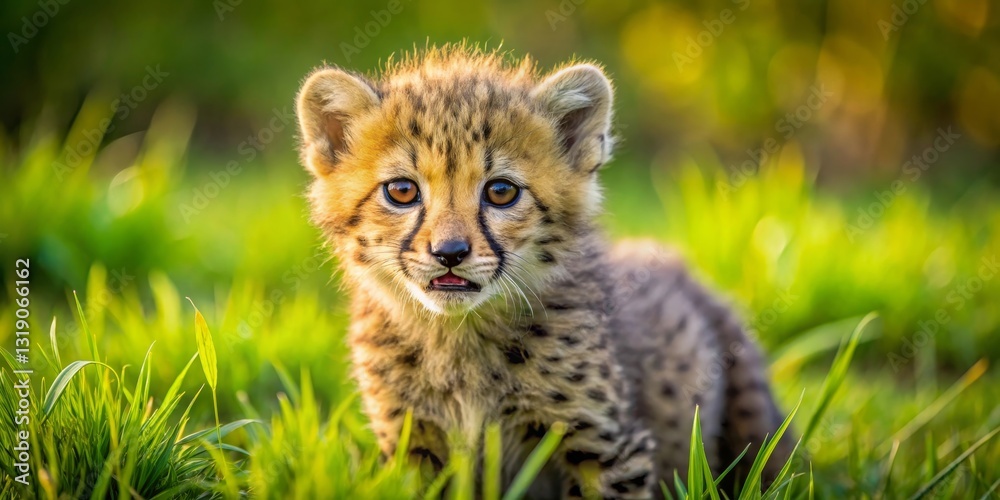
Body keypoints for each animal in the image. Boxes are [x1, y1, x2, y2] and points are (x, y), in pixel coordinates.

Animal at [294, 45, 793, 498]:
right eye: (401, 190)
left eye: (500, 192)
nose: (449, 253)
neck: (460, 335)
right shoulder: (413, 445)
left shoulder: (605, 446)